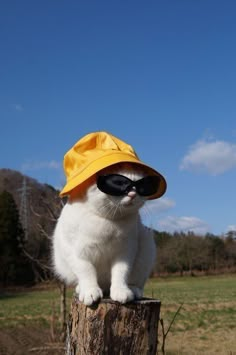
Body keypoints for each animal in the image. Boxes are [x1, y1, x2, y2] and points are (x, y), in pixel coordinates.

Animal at [52, 164, 156, 306]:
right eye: (118, 183)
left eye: (140, 185)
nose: (133, 194)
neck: (109, 220)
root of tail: (105, 287)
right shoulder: (77, 253)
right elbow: (87, 271)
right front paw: (90, 291)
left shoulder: (125, 252)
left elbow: (121, 273)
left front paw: (121, 291)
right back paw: (81, 289)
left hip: (146, 246)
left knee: (134, 281)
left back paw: (133, 290)